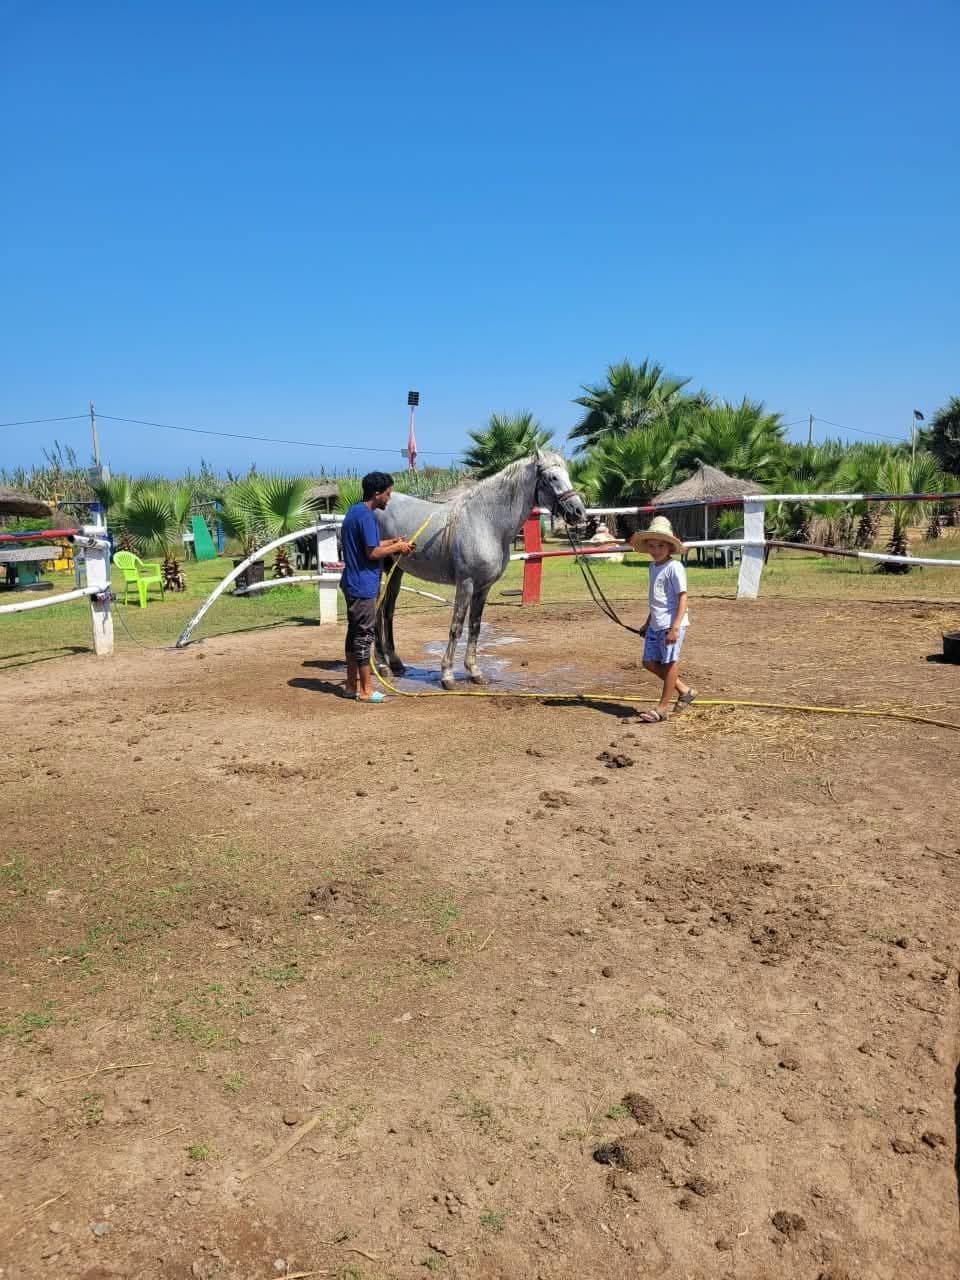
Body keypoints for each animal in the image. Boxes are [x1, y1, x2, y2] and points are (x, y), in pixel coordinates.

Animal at [374, 451, 587, 690]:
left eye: (567, 474)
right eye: (552, 478)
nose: (579, 512)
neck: (485, 522)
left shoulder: (483, 587)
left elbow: (475, 626)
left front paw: (475, 672)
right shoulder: (465, 584)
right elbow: (457, 626)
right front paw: (447, 675)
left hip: (396, 571)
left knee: (387, 612)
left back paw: (395, 663)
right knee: (376, 613)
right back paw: (382, 666)